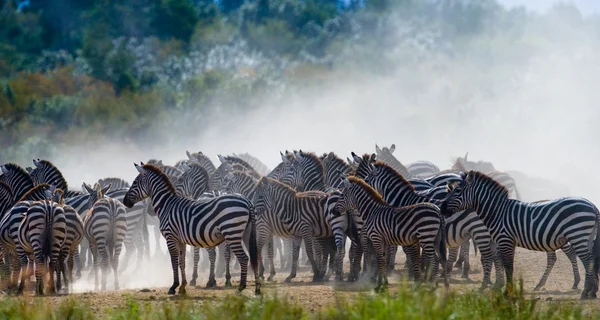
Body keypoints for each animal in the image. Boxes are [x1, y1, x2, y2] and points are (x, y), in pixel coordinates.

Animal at [124, 162, 260, 296]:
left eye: (135, 182)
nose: (125, 202)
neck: (167, 205)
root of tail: (247, 201)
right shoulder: (181, 240)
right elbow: (182, 262)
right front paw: (182, 287)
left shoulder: (170, 237)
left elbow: (174, 262)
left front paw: (174, 287)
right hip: (244, 234)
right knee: (253, 257)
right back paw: (257, 288)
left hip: (232, 233)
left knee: (243, 258)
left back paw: (241, 287)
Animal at [364, 162, 504, 290]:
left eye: (367, 179)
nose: (363, 184)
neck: (402, 201)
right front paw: (424, 275)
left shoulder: (405, 233)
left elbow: (412, 255)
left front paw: (416, 275)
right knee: (496, 257)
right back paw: (497, 283)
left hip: (479, 231)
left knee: (487, 257)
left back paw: (484, 283)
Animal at [440, 171, 600, 298]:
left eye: (457, 190)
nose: (441, 208)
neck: (497, 212)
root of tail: (592, 205)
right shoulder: (501, 242)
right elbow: (503, 264)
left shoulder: (505, 240)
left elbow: (508, 266)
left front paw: (507, 292)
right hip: (585, 238)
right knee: (591, 260)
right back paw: (592, 291)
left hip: (577, 234)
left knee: (588, 261)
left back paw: (586, 291)